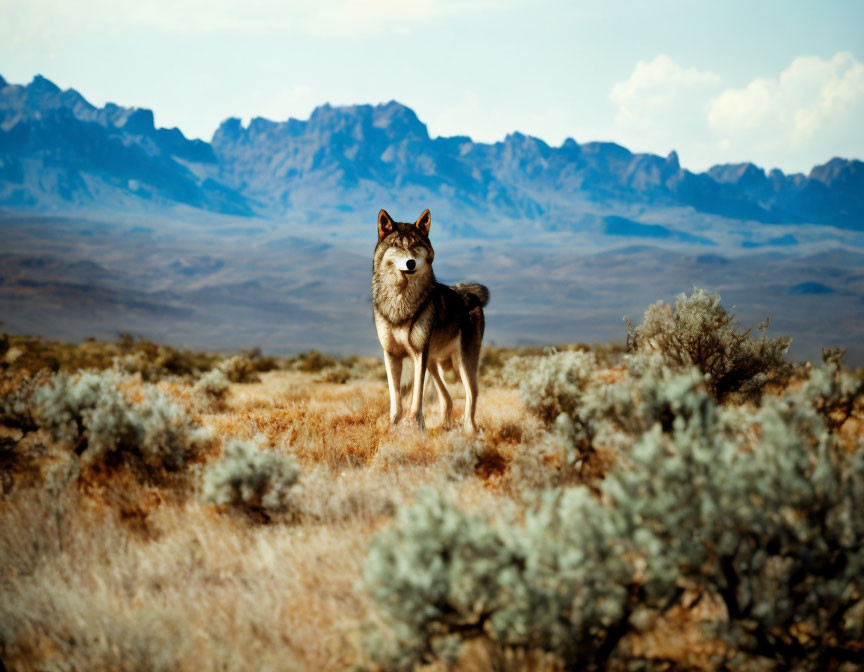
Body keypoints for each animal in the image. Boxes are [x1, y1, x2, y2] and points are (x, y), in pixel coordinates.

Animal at [372, 207, 490, 434]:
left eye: (415, 245)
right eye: (397, 246)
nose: (410, 263)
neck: (401, 300)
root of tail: (470, 294)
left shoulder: (419, 353)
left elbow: (416, 397)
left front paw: (414, 426)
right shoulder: (391, 354)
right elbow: (396, 400)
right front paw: (393, 429)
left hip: (462, 362)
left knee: (472, 394)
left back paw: (469, 430)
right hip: (434, 364)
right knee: (447, 398)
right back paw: (445, 427)